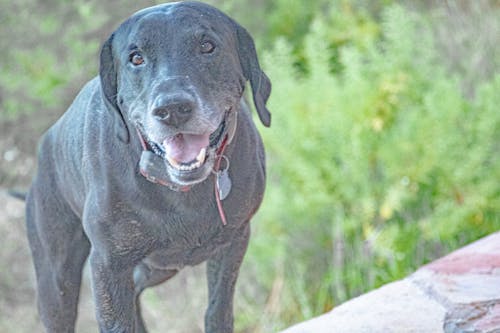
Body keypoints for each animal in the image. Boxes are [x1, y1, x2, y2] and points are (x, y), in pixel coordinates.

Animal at [24, 1, 270, 330]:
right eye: (136, 58)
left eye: (207, 46)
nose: (172, 109)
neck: (181, 190)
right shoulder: (108, 265)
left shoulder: (234, 241)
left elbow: (218, 309)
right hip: (57, 282)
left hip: (156, 268)